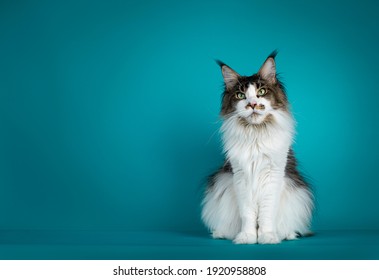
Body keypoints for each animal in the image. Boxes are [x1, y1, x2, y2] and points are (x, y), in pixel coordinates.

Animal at [202, 51, 314, 244]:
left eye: (261, 92)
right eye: (241, 96)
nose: (252, 104)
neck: (255, 136)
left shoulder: (272, 175)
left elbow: (266, 213)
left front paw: (267, 236)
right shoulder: (241, 177)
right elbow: (248, 214)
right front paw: (247, 236)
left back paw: (287, 234)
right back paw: (221, 233)